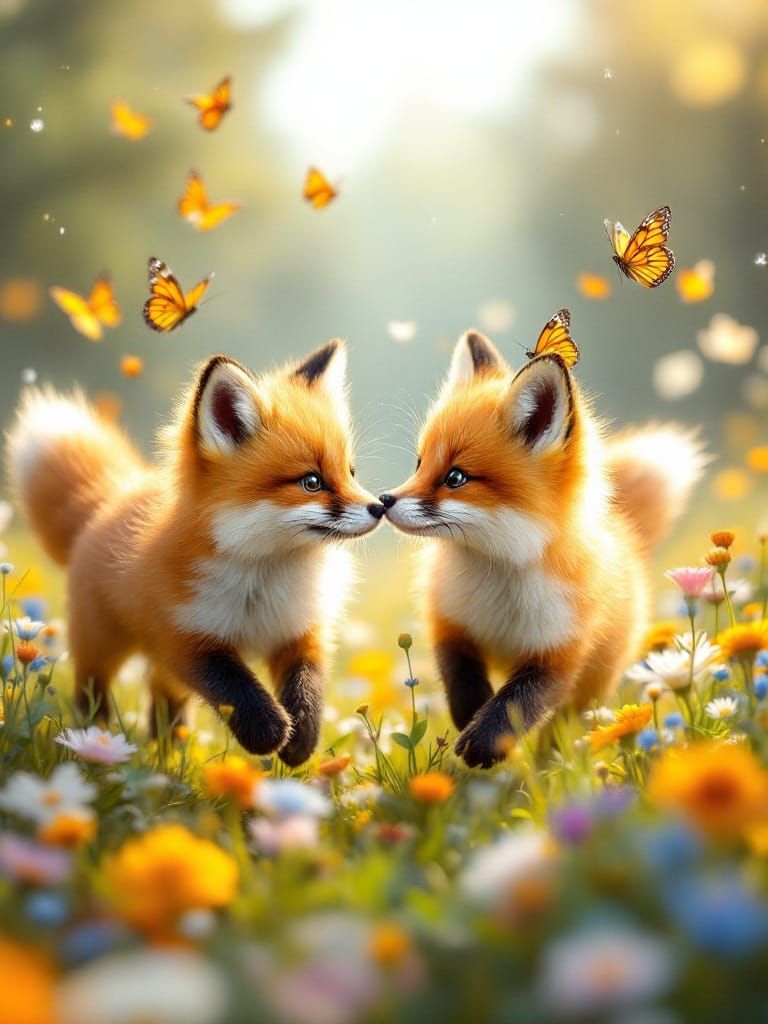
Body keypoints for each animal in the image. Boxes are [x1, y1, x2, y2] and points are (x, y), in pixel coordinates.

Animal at [6, 340, 385, 765]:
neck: (262, 580)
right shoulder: (185, 639)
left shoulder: (299, 632)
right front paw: (269, 732)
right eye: (312, 482)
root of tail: (110, 497)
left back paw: (168, 755)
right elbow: (237, 689)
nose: (379, 507)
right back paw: (94, 742)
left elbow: (308, 688)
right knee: (93, 694)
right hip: (101, 646)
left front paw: (301, 740)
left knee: (163, 700)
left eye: (350, 472)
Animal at [380, 330, 705, 768]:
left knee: (563, 729)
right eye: (419, 463)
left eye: (455, 477)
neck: (499, 580)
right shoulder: (448, 622)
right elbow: (463, 682)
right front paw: (471, 718)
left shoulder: (559, 651)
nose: (383, 501)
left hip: (590, 688)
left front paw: (486, 742)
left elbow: (517, 702)